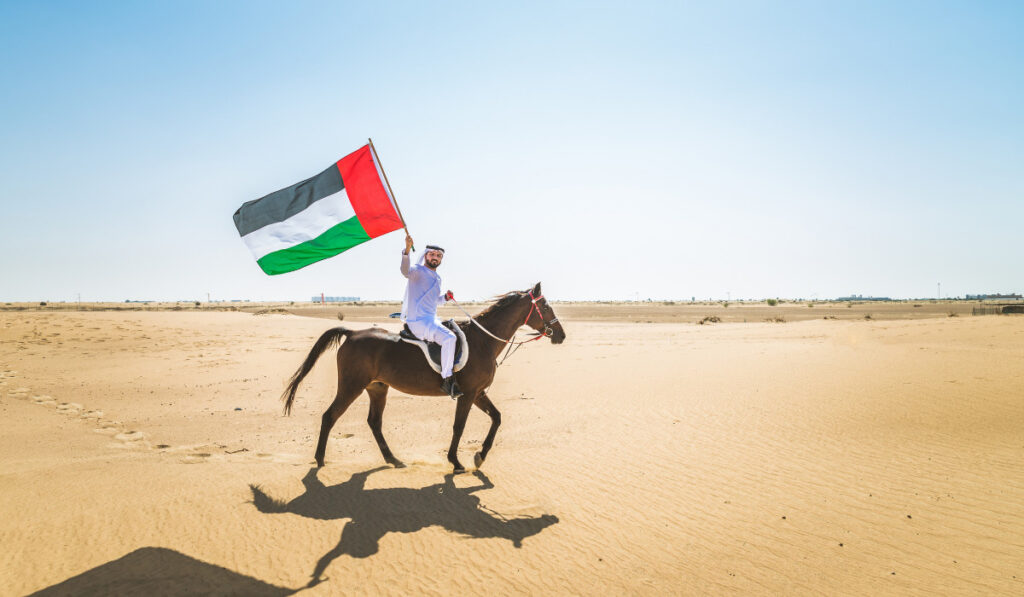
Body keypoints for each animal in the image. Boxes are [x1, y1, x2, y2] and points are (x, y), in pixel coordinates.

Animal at [284, 282, 565, 475]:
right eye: (545, 306)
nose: (561, 335)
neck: (483, 340)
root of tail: (352, 333)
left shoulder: (478, 393)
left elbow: (496, 418)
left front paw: (480, 456)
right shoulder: (468, 395)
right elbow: (459, 426)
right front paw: (456, 461)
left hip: (377, 388)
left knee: (374, 422)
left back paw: (393, 460)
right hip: (351, 387)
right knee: (329, 416)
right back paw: (320, 459)